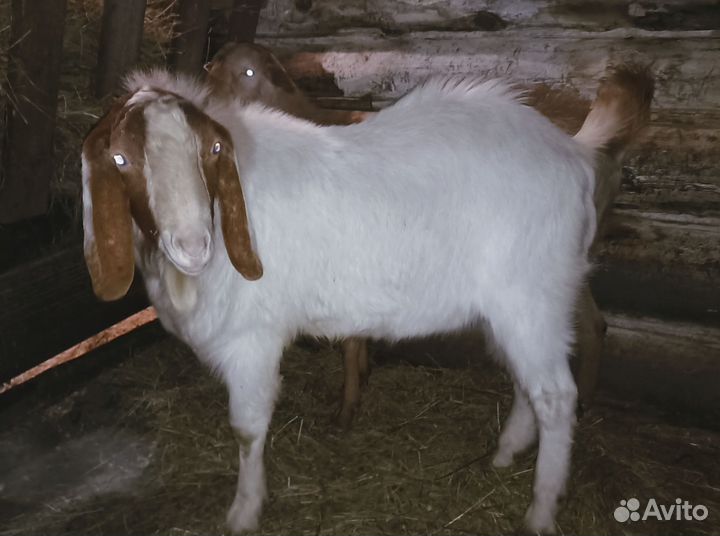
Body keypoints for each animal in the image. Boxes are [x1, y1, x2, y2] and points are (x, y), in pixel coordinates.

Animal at [81, 66, 651, 534]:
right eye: (121, 159)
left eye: (210, 153)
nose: (192, 245)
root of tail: (576, 154)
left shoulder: (252, 339)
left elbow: (246, 429)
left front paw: (244, 511)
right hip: (515, 310)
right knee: (526, 383)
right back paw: (506, 454)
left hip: (534, 295)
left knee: (556, 396)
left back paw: (540, 511)